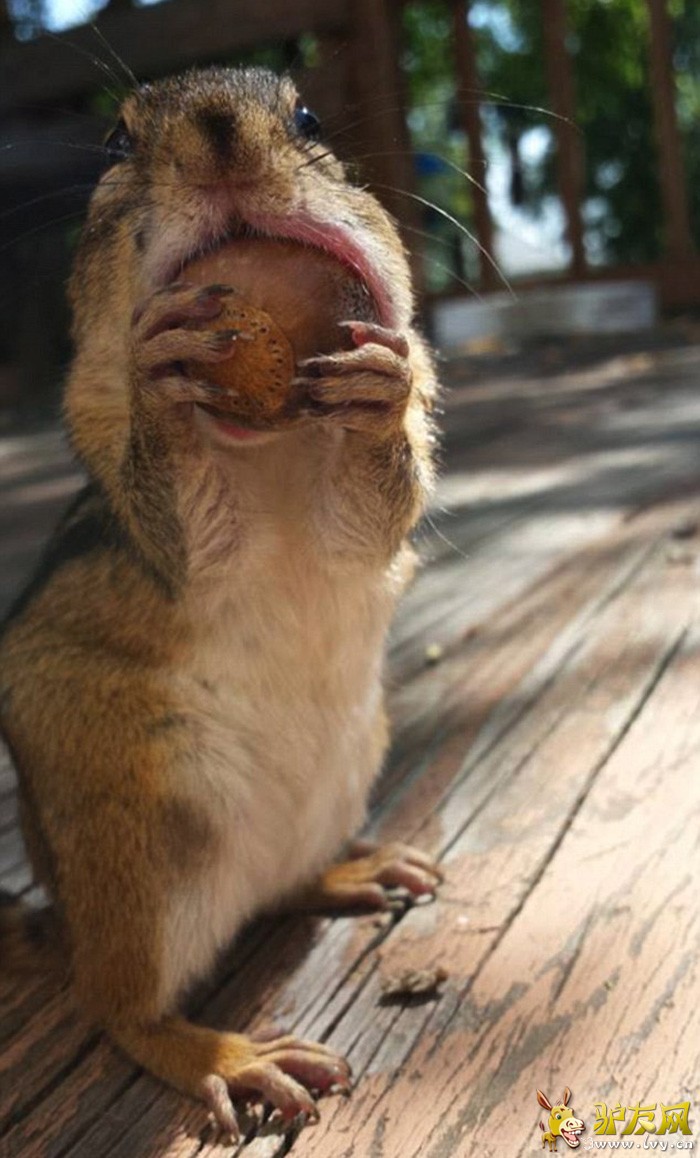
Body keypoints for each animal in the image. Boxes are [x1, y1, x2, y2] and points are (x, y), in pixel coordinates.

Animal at [0, 66, 442, 1138]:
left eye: (309, 117)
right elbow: (185, 516)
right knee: (119, 1011)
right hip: (134, 844)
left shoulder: (354, 518)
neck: (276, 447)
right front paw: (165, 382)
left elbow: (374, 507)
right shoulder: (172, 536)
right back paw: (230, 1055)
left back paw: (351, 872)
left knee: (281, 891)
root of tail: (67, 917)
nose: (220, 137)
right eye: (114, 143)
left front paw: (379, 390)